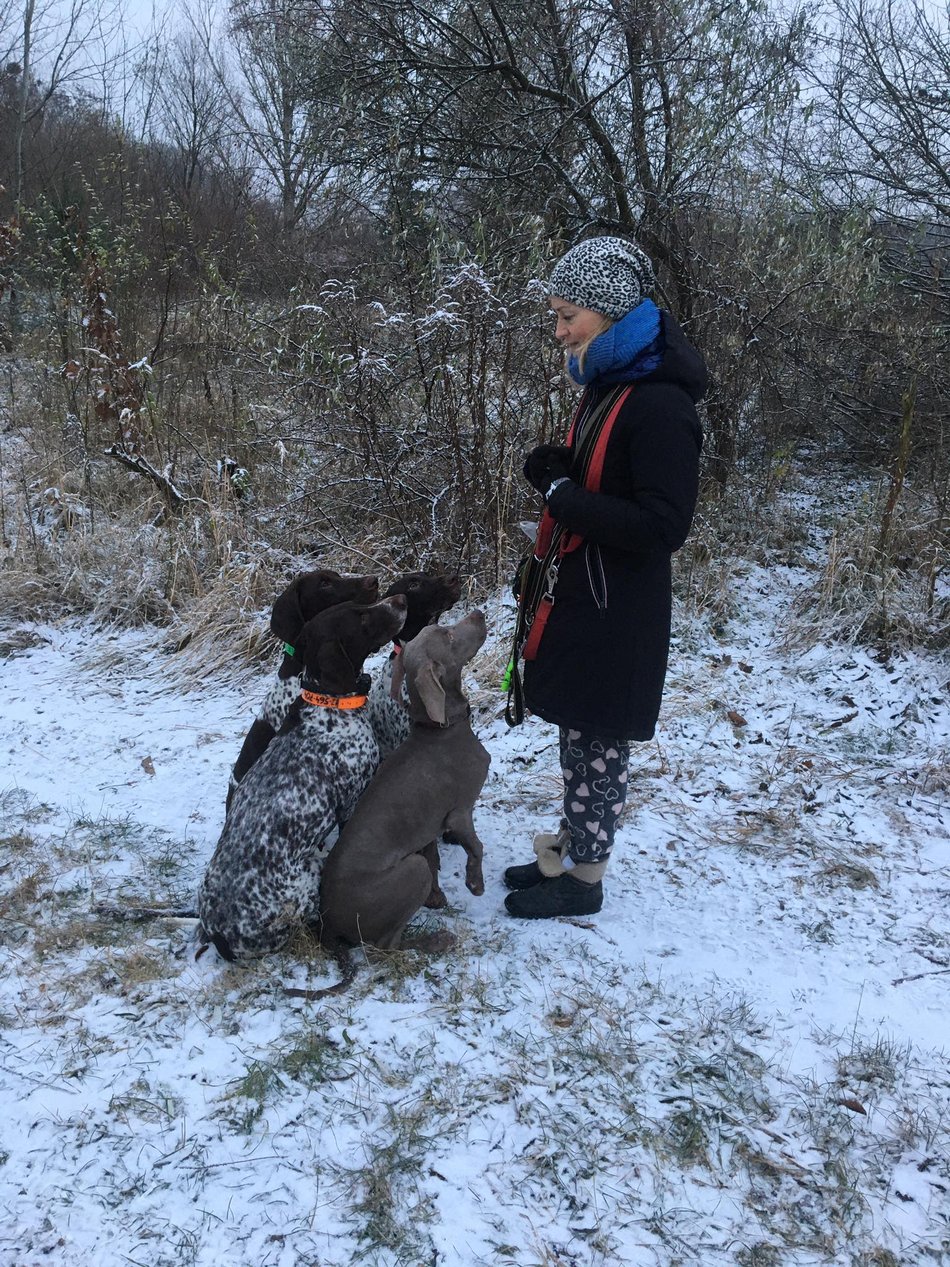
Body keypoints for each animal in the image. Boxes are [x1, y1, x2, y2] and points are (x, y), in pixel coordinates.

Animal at [198, 592, 407, 957]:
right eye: (361, 618)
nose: (402, 598)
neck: (328, 706)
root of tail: (221, 936)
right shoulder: (353, 801)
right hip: (309, 874)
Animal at [320, 608, 491, 952]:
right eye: (448, 635)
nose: (479, 613)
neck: (440, 730)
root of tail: (328, 923)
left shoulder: (429, 828)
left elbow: (434, 855)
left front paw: (437, 896)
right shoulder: (459, 811)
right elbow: (475, 846)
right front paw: (474, 883)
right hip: (411, 871)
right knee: (387, 945)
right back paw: (437, 940)